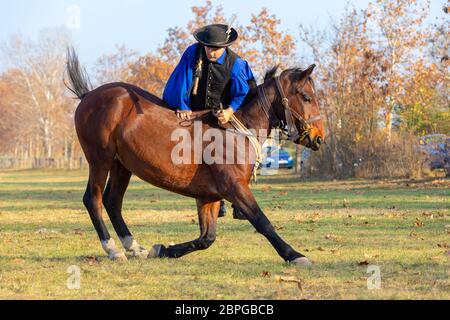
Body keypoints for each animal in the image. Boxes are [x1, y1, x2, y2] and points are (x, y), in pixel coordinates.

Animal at [66, 48, 324, 266]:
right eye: (306, 97)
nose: (318, 137)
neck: (234, 131)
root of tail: (89, 95)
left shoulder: (209, 196)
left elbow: (206, 238)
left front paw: (163, 250)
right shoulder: (234, 187)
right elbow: (262, 222)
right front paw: (294, 254)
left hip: (122, 166)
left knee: (112, 201)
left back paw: (134, 247)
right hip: (100, 160)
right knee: (94, 200)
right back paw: (112, 249)